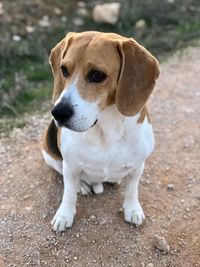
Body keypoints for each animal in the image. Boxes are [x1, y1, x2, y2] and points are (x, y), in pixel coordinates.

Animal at [41, 30, 159, 232]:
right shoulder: (70, 165)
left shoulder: (138, 166)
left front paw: (132, 209)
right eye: (64, 70)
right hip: (50, 156)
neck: (105, 130)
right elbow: (68, 193)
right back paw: (82, 185)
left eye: (96, 75)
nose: (58, 113)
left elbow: (132, 190)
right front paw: (64, 215)